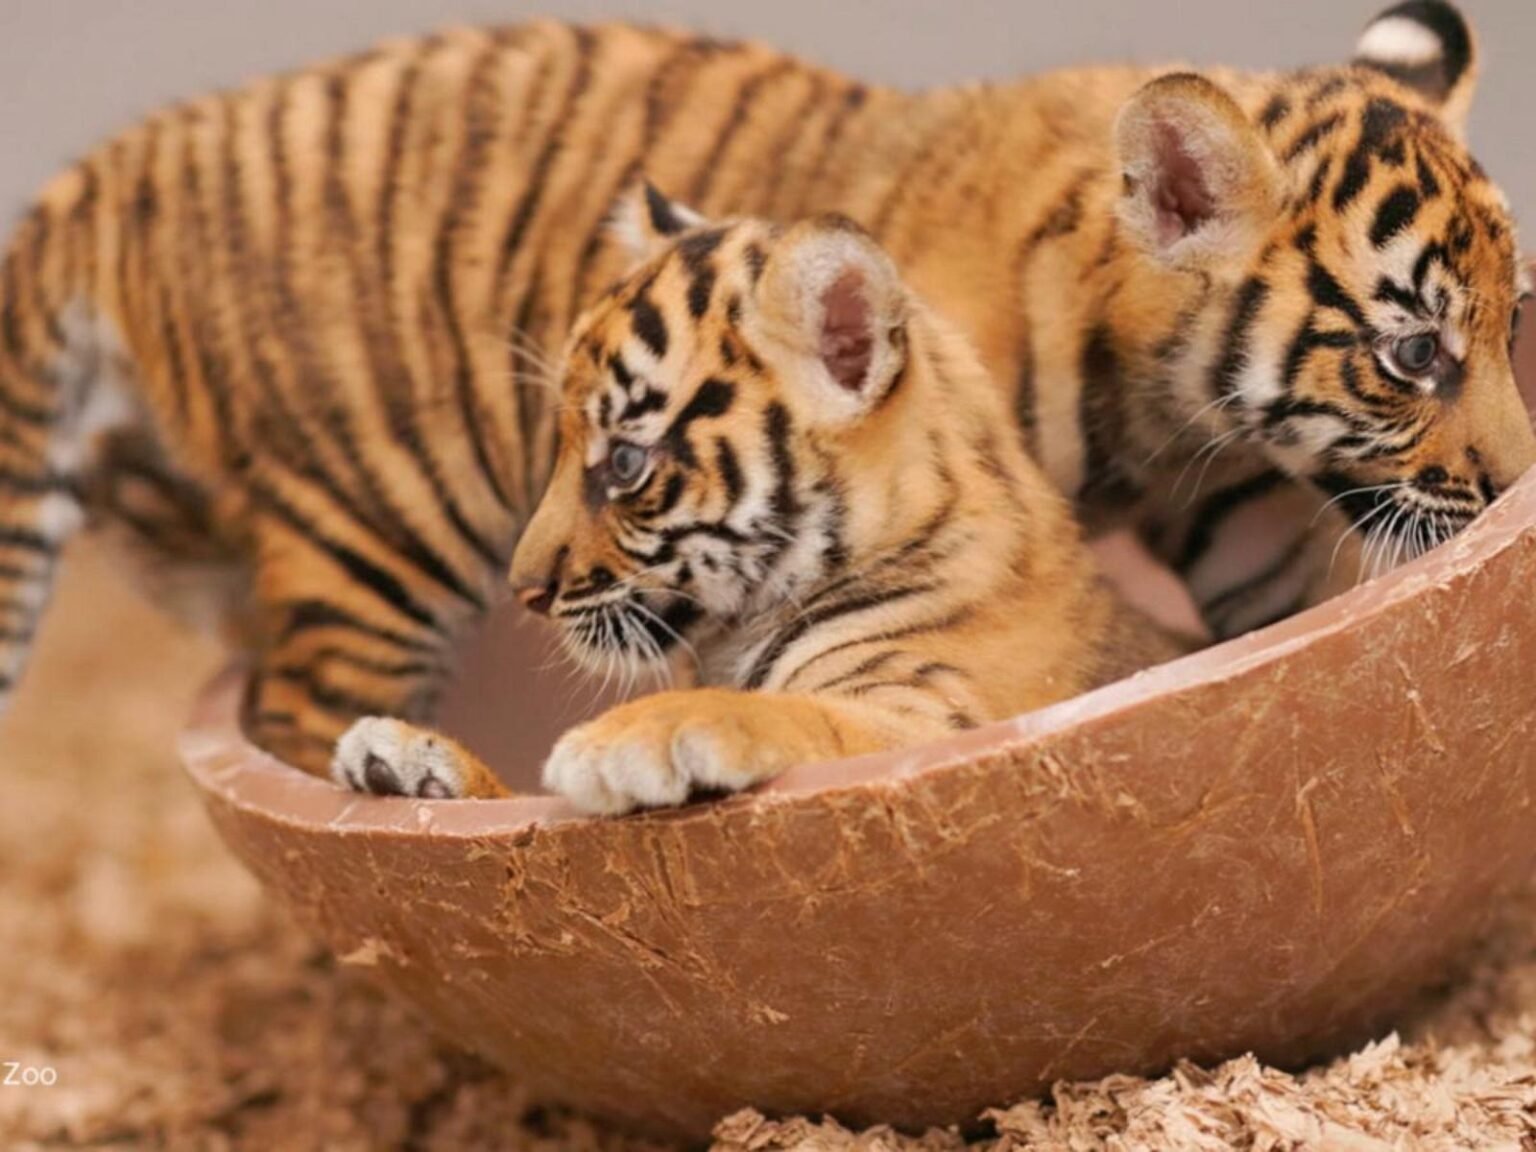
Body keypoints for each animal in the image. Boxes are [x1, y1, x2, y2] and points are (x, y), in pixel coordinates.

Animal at [333, 192, 1187, 807]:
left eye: (625, 461)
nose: (527, 590)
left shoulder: (942, 721)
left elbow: (802, 715)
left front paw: (632, 738)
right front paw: (409, 762)